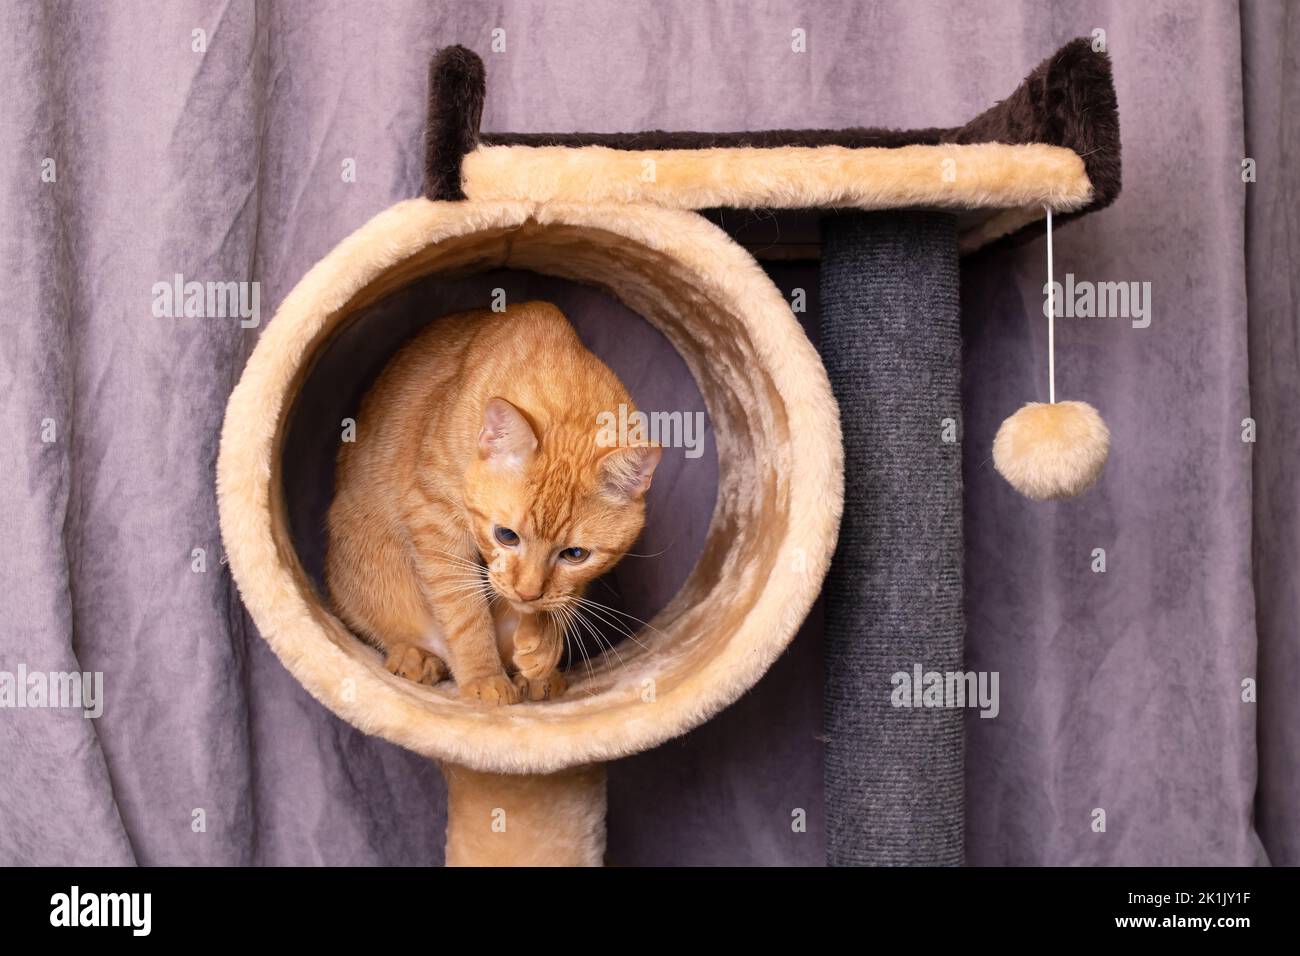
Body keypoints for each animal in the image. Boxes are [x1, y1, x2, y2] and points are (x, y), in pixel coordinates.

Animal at [325, 303, 660, 707]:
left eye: (575, 554)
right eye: (506, 536)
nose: (529, 592)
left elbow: (561, 600)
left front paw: (542, 650)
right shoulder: (435, 520)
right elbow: (464, 613)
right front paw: (484, 676)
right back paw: (414, 656)